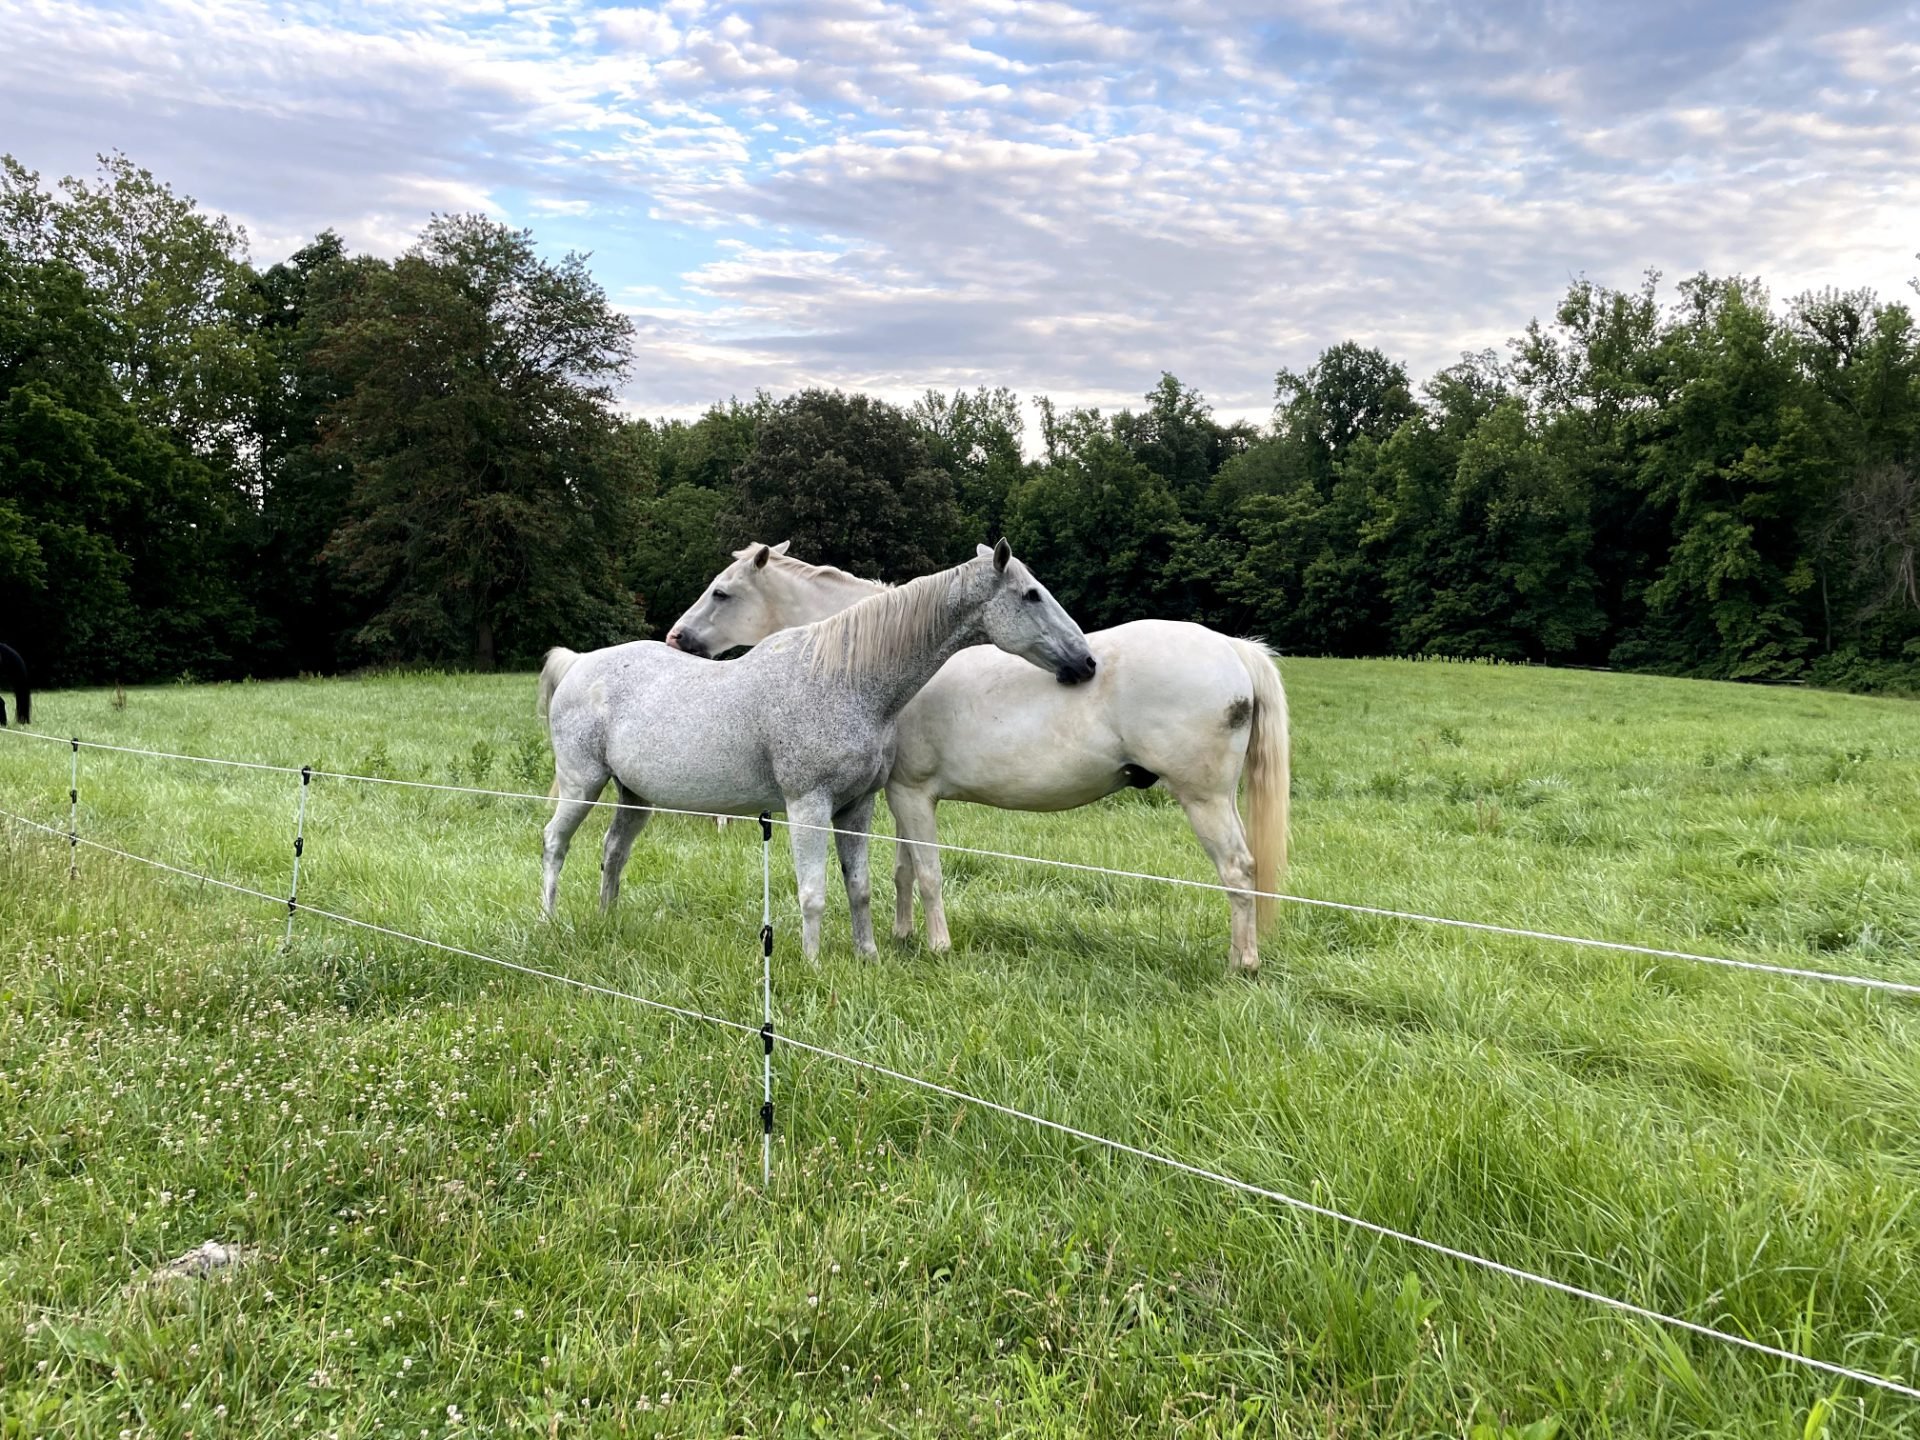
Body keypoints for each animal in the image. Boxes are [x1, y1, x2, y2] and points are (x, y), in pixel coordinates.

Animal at [538, 542, 1095, 959]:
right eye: (1031, 595)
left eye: (722, 592)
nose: (1086, 661)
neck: (842, 678)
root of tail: (580, 663)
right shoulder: (808, 806)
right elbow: (814, 892)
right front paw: (812, 964)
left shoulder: (858, 806)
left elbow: (860, 887)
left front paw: (868, 957)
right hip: (583, 785)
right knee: (554, 842)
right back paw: (548, 923)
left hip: (634, 795)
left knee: (613, 851)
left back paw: (608, 922)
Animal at [666, 543, 1289, 974]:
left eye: (721, 593)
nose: (675, 640)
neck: (870, 664)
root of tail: (1231, 647)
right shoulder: (899, 796)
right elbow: (904, 870)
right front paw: (903, 937)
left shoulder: (911, 794)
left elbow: (928, 873)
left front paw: (937, 947)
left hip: (1204, 799)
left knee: (1238, 870)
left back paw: (1242, 963)